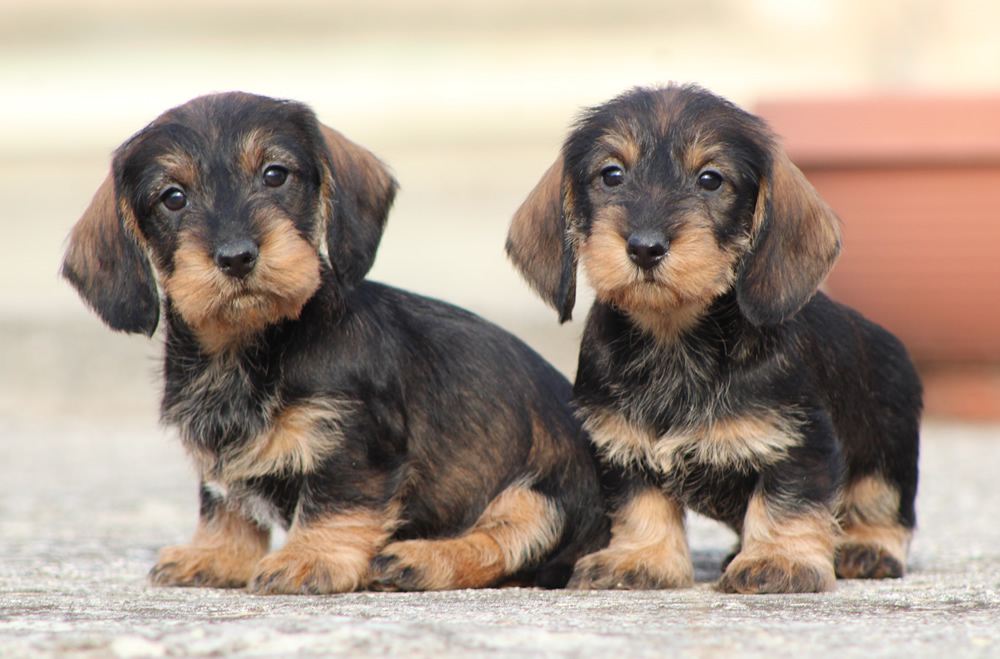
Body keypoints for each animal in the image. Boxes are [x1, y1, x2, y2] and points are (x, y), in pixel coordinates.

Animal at [66, 94, 608, 600]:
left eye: (275, 174)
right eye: (173, 198)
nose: (237, 257)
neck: (249, 347)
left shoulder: (352, 441)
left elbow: (334, 502)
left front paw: (310, 558)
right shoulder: (219, 455)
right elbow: (225, 504)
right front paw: (216, 554)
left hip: (543, 496)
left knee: (503, 543)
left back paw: (419, 559)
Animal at [508, 85, 920, 596]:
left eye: (710, 179)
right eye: (611, 174)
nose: (645, 247)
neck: (674, 339)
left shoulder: (799, 443)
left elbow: (788, 503)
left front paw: (778, 560)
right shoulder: (623, 445)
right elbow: (641, 505)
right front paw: (640, 558)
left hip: (888, 451)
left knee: (885, 508)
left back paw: (866, 548)